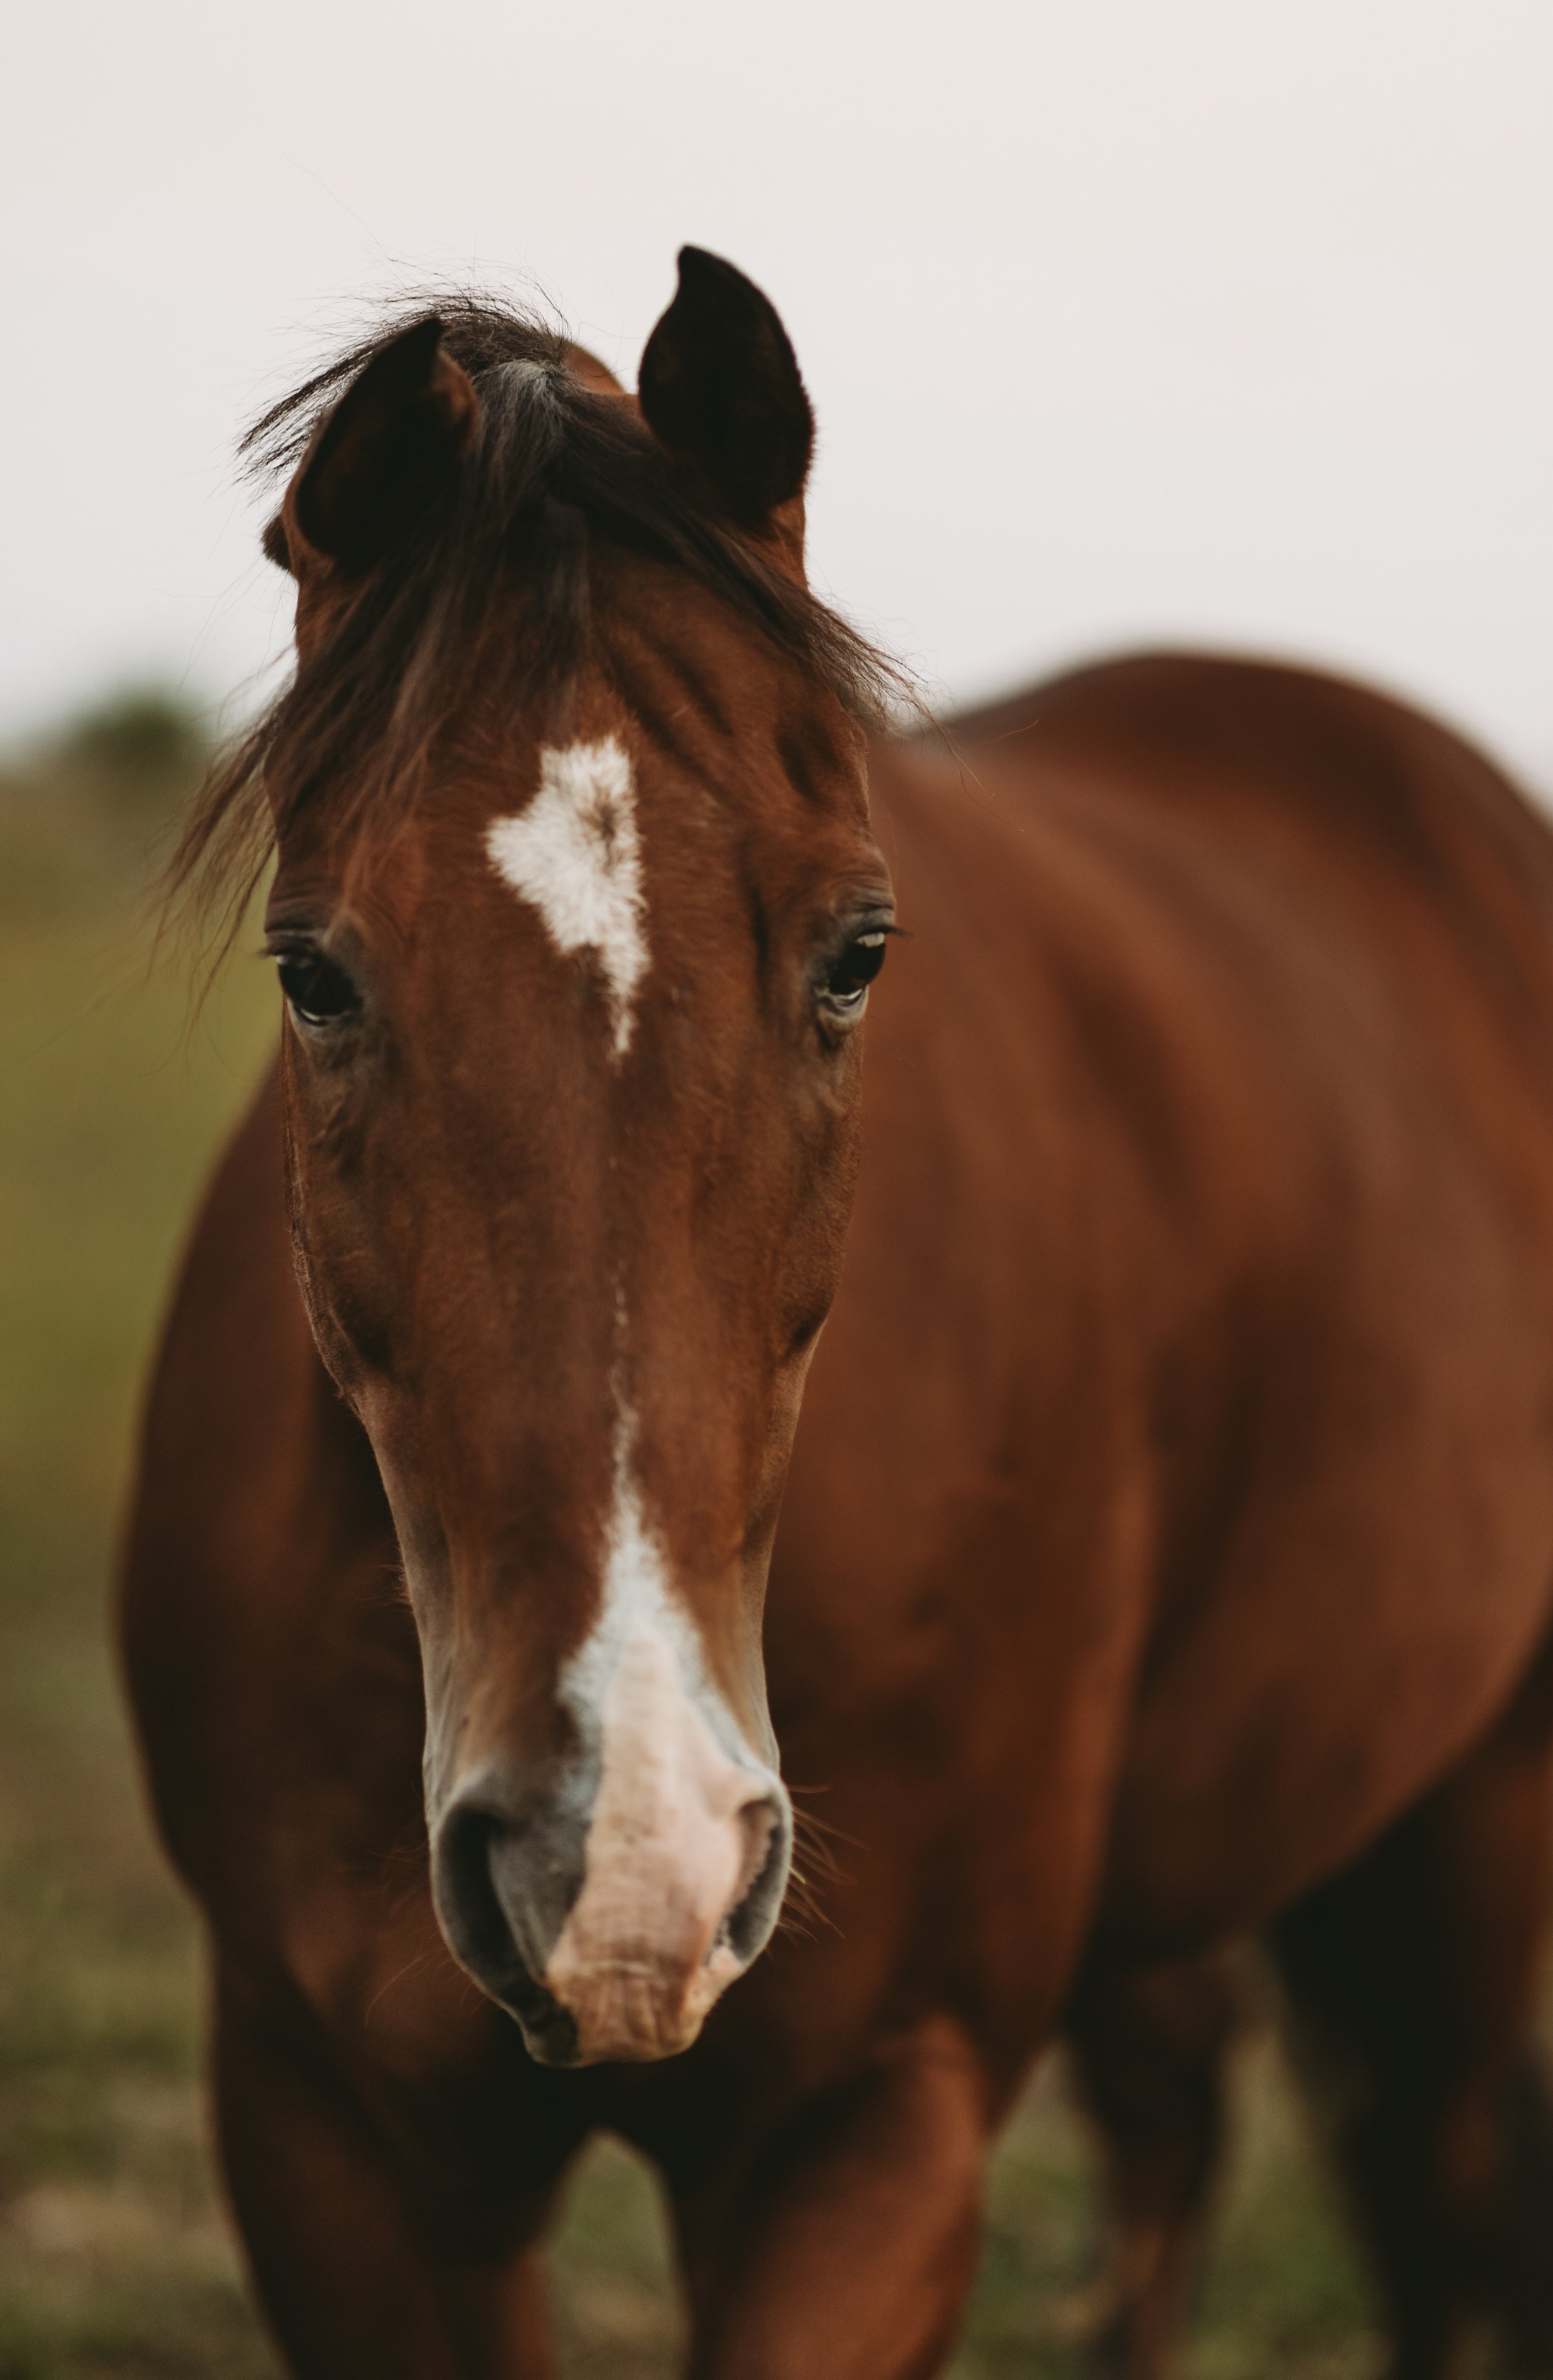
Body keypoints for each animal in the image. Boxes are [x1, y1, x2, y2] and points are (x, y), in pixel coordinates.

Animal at [121, 248, 1553, 2380]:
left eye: (856, 950)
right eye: (313, 972)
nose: (625, 1856)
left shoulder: (876, 2118)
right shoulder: (330, 2139)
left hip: (1469, 1814)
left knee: (1436, 2197)